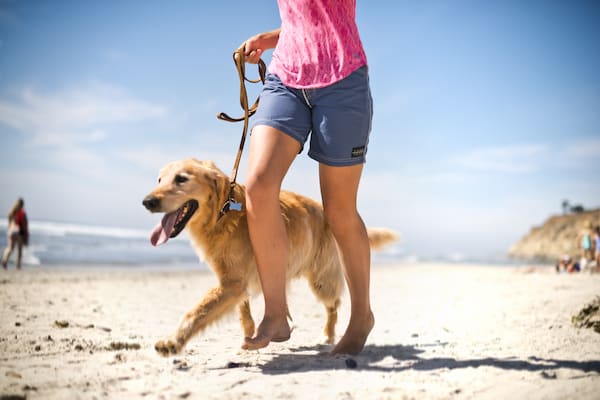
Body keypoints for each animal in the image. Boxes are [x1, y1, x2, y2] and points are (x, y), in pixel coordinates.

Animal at [143, 158, 398, 354]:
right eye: (159, 180)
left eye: (181, 179)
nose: (147, 202)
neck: (223, 214)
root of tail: (323, 210)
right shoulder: (236, 281)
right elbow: (242, 309)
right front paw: (249, 332)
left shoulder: (232, 283)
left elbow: (196, 312)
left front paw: (173, 341)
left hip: (322, 279)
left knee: (333, 305)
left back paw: (329, 335)